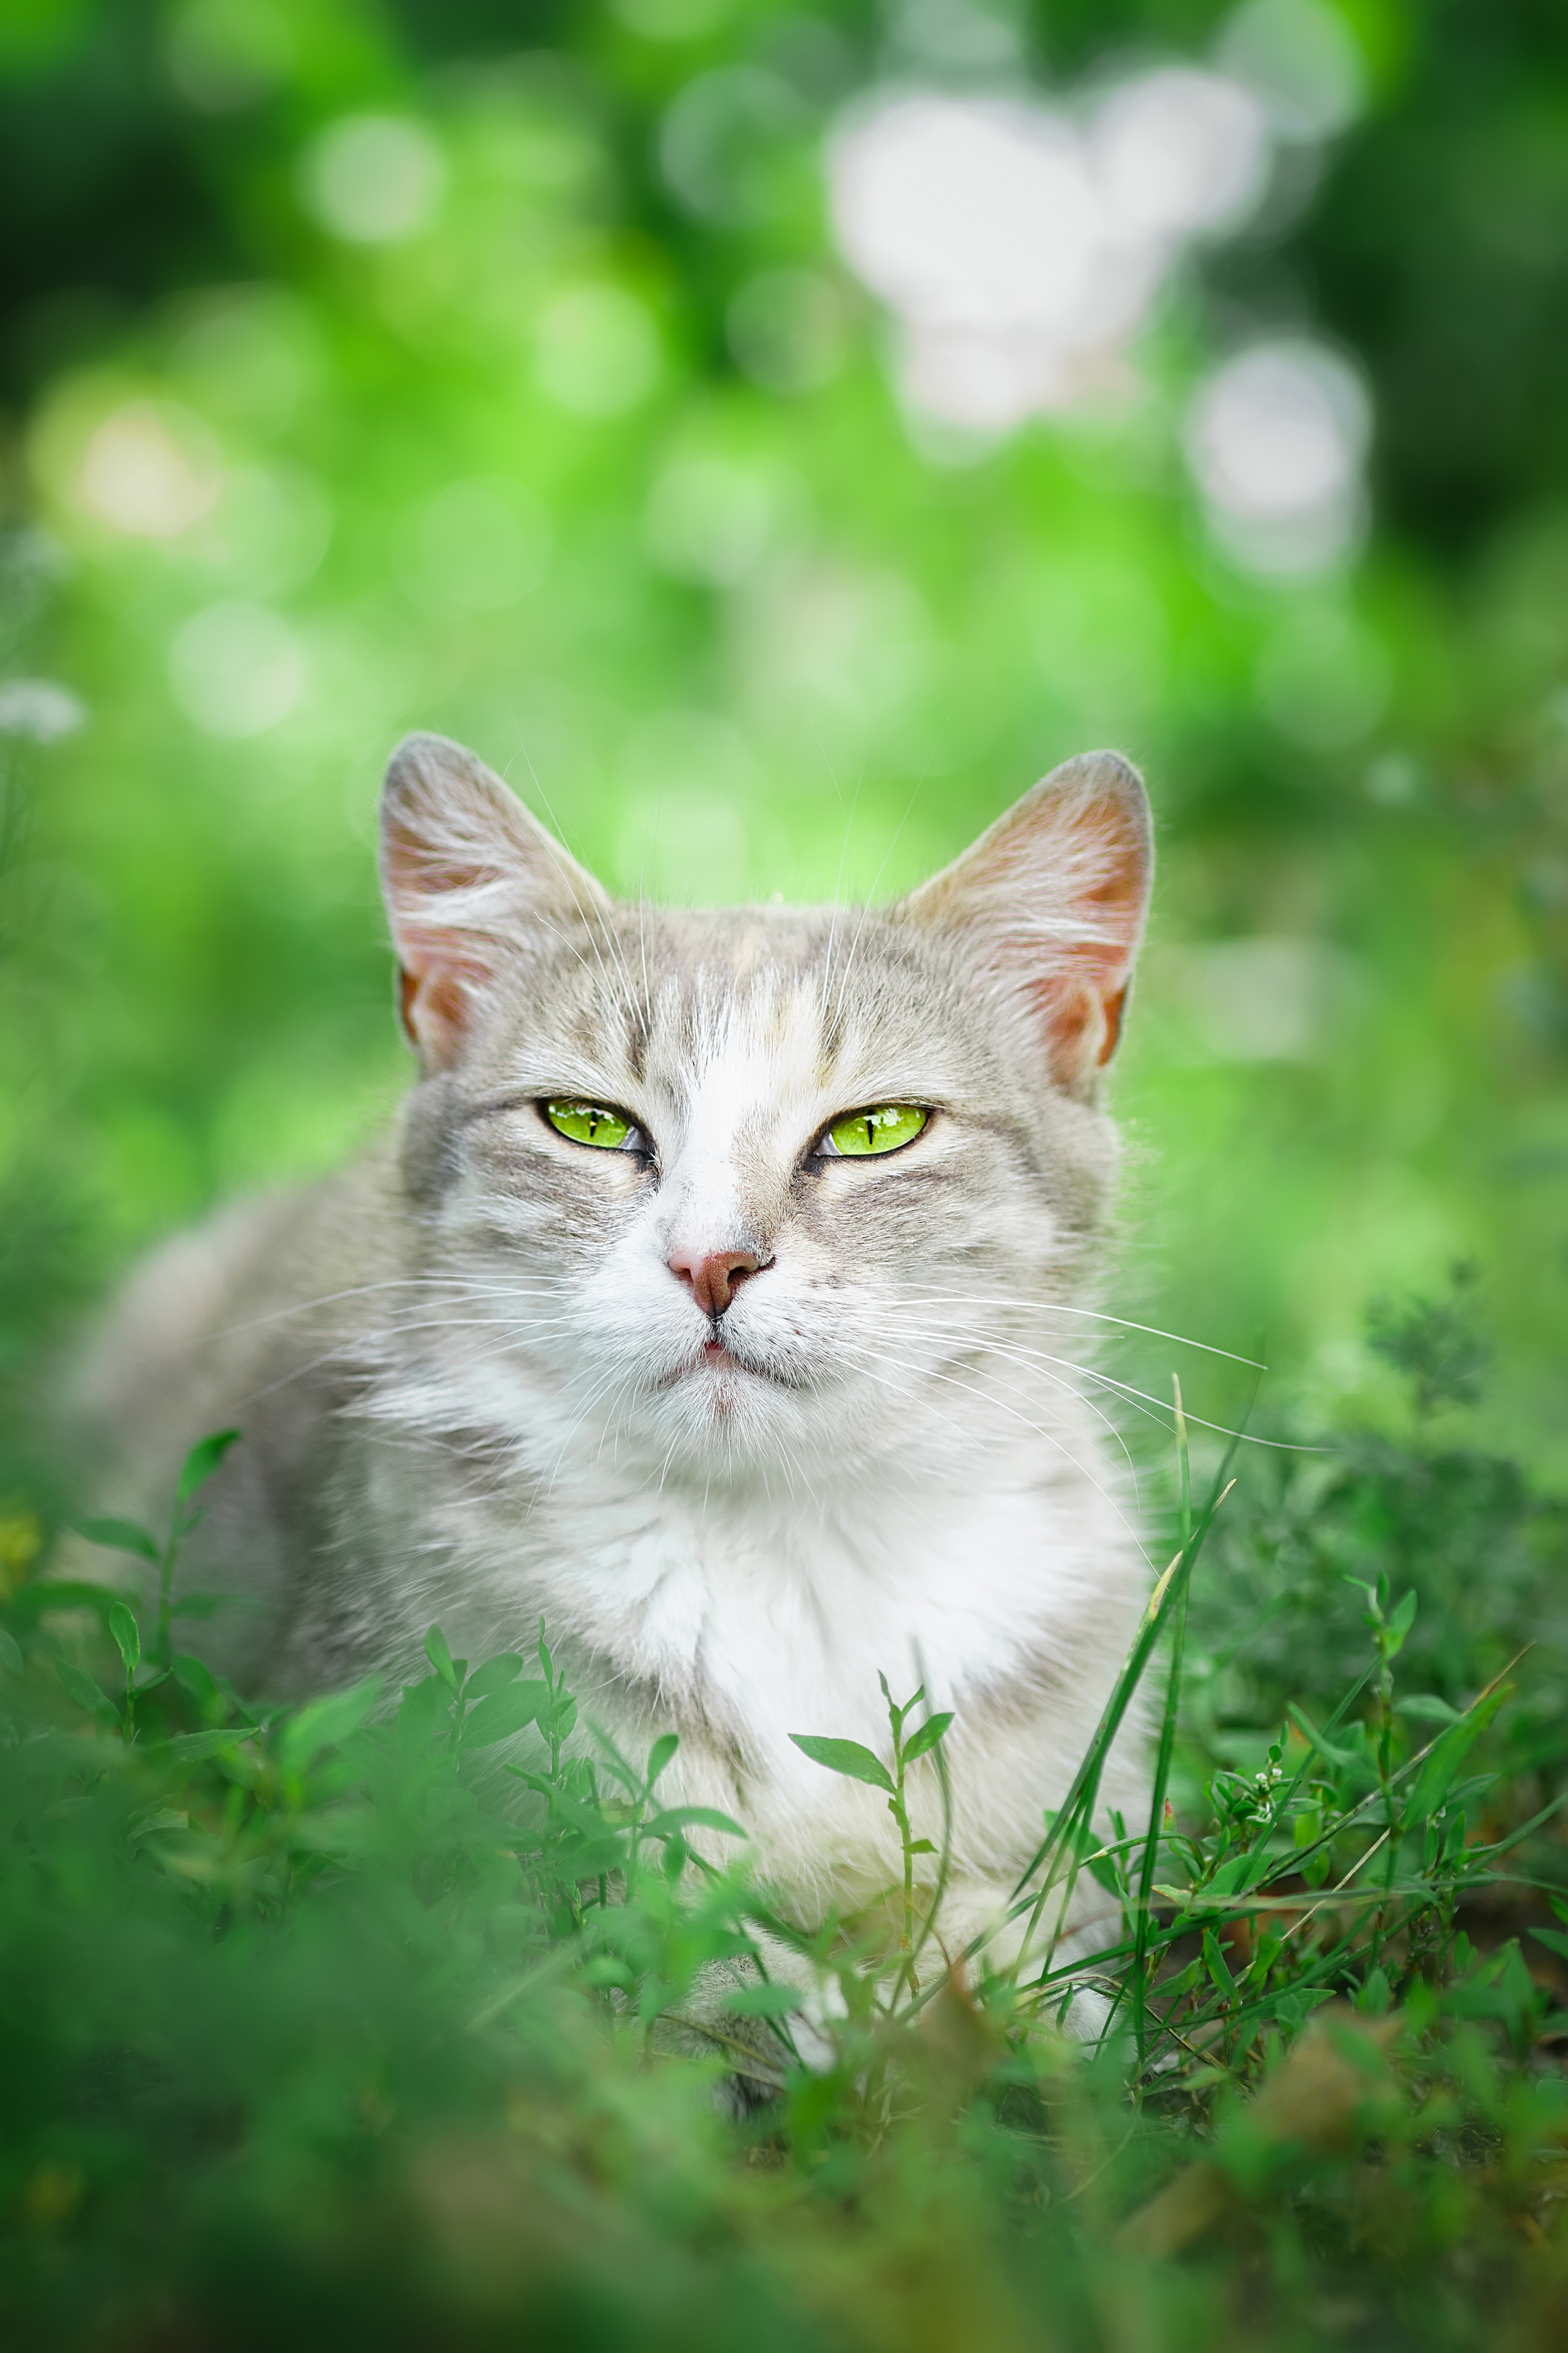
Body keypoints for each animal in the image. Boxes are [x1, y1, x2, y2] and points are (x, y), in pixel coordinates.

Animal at [76, 729, 1151, 2042]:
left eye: (876, 1129)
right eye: (586, 1123)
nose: (712, 1261)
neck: (778, 1552)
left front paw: (996, 1973)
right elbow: (615, 1936)